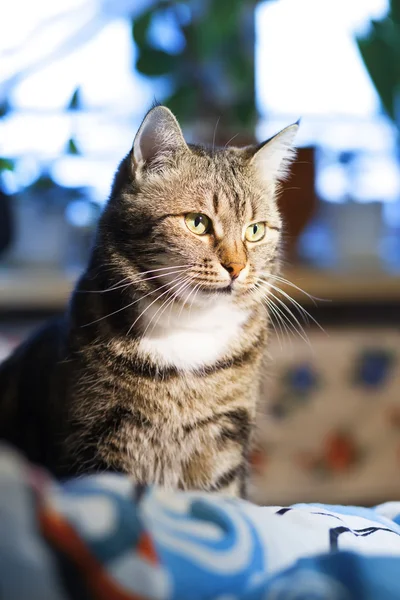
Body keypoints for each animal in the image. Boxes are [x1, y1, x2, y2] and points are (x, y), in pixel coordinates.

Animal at [0, 106, 296, 496]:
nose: (236, 267)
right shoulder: (98, 436)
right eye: (197, 222)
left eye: (255, 231)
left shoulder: (224, 439)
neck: (188, 331)